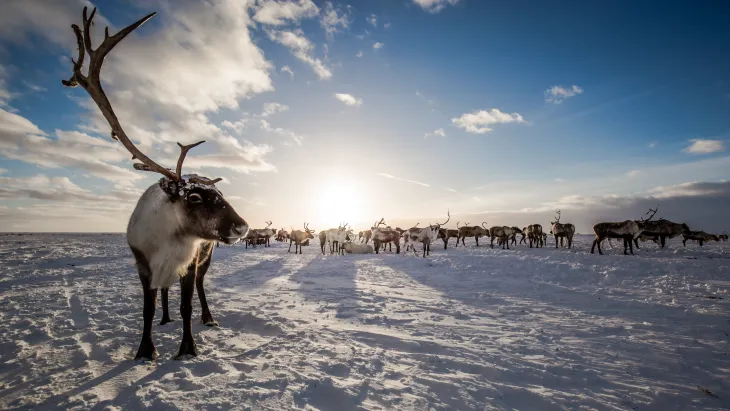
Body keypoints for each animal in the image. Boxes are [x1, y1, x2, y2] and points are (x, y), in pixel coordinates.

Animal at [60, 7, 249, 360]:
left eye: (220, 193)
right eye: (194, 197)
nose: (242, 226)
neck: (169, 239)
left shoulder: (190, 263)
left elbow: (187, 304)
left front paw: (188, 347)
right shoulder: (143, 265)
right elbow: (147, 308)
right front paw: (145, 349)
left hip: (206, 257)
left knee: (199, 289)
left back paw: (208, 317)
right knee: (163, 293)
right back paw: (165, 318)